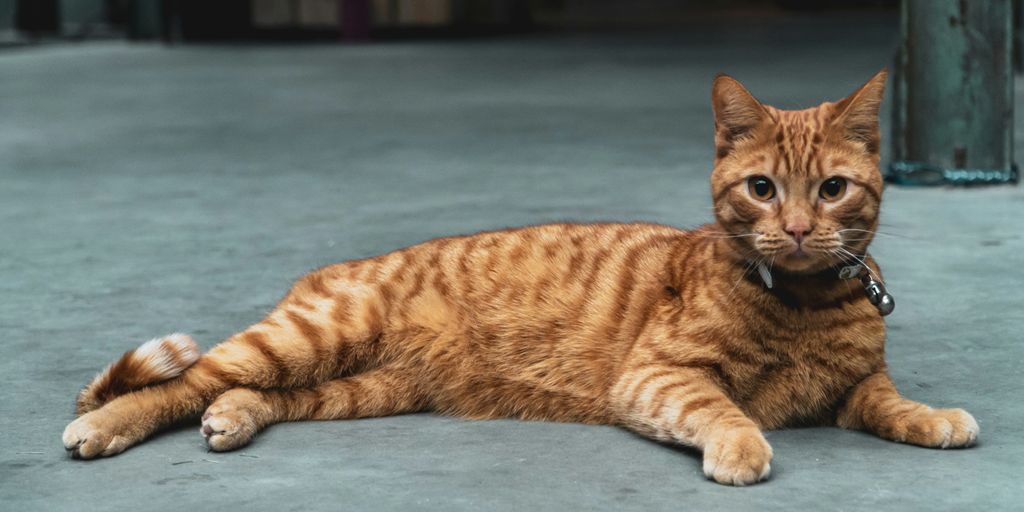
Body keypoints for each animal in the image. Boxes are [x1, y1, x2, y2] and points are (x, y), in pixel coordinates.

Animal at [64, 70, 974, 485]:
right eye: (760, 189)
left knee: (244, 392)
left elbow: (892, 404)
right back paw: (105, 427)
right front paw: (744, 444)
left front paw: (935, 418)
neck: (806, 301)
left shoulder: (856, 387)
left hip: (363, 386)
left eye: (831, 189)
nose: (797, 229)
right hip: (311, 337)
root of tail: (325, 269)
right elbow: (723, 407)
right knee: (175, 383)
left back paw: (235, 418)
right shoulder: (658, 376)